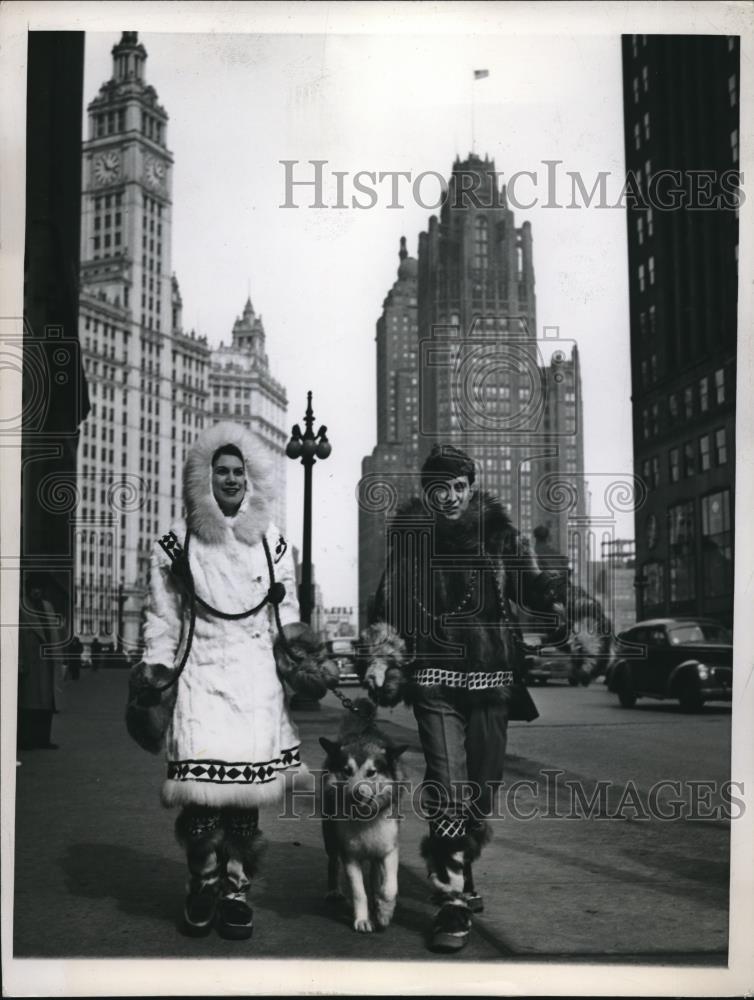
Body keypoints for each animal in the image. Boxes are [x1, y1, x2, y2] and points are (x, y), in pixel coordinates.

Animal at [320, 700, 408, 932]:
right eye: (346, 771)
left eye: (372, 772)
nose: (356, 793)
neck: (365, 820)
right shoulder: (350, 855)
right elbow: (359, 892)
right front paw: (362, 919)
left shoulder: (389, 848)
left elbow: (389, 888)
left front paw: (384, 910)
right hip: (330, 835)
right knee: (333, 860)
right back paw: (333, 890)